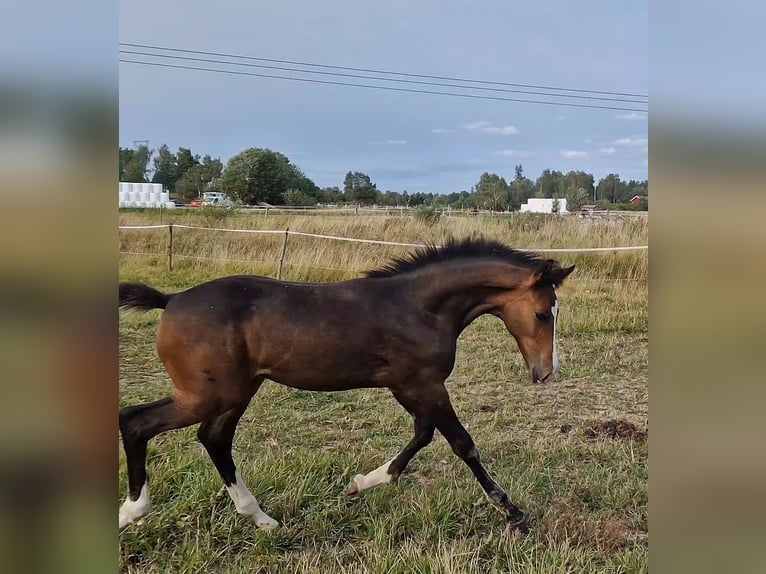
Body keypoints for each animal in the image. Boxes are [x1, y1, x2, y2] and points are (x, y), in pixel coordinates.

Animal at [118, 236, 576, 532]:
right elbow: (461, 443)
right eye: (542, 314)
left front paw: (362, 483)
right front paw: (510, 510)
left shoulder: (409, 386)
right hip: (208, 393)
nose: (545, 372)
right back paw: (133, 510)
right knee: (136, 421)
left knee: (213, 438)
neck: (419, 307)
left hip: (234, 393)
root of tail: (172, 299)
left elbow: (423, 434)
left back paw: (261, 518)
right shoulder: (424, 384)